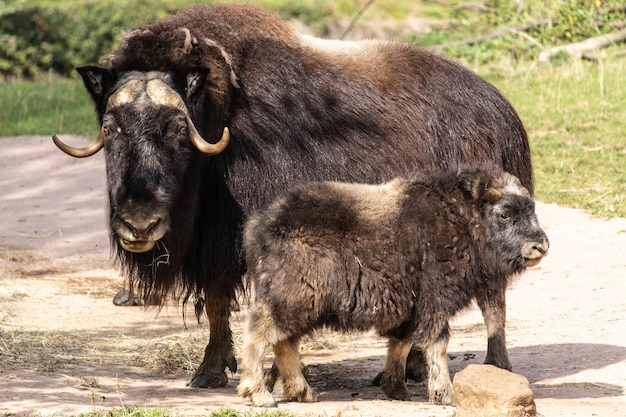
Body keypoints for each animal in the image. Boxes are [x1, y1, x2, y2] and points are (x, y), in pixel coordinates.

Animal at [236, 164, 544, 404]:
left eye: (531, 209)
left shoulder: (411, 304)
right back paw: (259, 394)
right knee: (260, 335)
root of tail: (259, 225)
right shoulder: (435, 300)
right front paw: (445, 394)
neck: (460, 220)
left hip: (300, 304)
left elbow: (403, 342)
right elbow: (438, 342)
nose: (539, 246)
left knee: (284, 342)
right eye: (504, 213)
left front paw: (396, 388)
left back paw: (302, 392)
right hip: (293, 298)